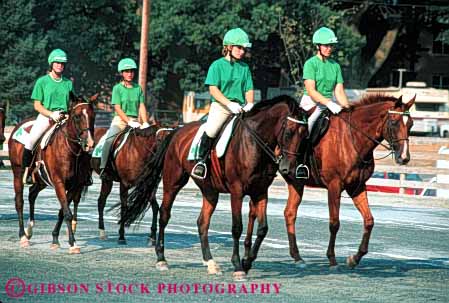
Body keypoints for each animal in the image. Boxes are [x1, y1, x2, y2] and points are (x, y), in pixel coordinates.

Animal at [8, 94, 95, 254]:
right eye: (77, 116)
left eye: (93, 115)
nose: (89, 143)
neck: (70, 149)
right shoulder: (59, 183)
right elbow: (67, 213)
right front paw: (73, 244)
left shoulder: (74, 186)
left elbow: (63, 211)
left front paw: (55, 239)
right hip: (17, 174)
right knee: (19, 202)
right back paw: (23, 236)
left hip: (41, 180)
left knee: (32, 193)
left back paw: (30, 230)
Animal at [119, 96, 308, 282]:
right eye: (289, 132)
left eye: (305, 135)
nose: (289, 168)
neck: (254, 143)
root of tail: (176, 132)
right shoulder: (237, 192)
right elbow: (237, 228)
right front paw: (238, 266)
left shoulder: (260, 192)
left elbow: (263, 229)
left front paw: (247, 263)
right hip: (173, 183)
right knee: (164, 215)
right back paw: (161, 259)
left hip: (209, 191)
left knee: (202, 222)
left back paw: (210, 262)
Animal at [243, 94, 414, 270]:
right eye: (394, 122)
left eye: (411, 124)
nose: (404, 157)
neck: (352, 138)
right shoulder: (334, 186)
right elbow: (334, 223)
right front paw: (332, 259)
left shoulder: (357, 187)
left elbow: (369, 221)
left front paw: (355, 258)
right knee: (255, 210)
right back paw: (249, 251)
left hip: (294, 183)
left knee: (288, 213)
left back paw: (295, 256)